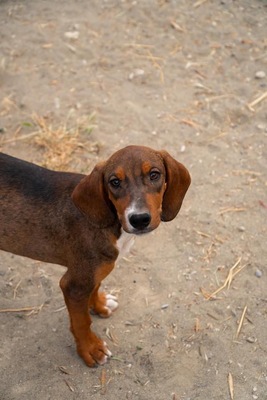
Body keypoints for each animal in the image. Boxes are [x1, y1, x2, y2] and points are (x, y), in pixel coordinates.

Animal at [0, 145, 193, 368]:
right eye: (114, 182)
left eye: (154, 174)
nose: (138, 219)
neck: (112, 222)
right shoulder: (74, 284)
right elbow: (82, 322)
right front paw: (90, 349)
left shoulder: (95, 273)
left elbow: (96, 286)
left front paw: (99, 305)